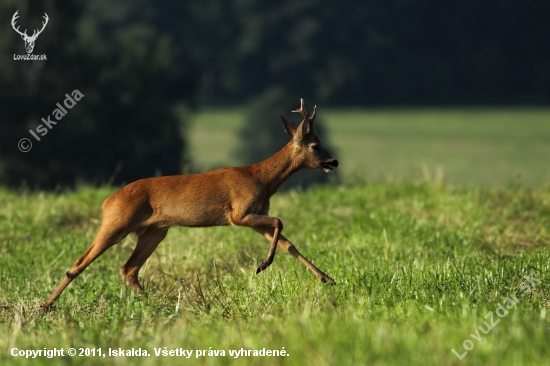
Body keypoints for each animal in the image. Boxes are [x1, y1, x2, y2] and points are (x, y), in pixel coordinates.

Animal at [41, 98, 338, 308]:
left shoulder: (255, 216)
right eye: (316, 146)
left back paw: (156, 305)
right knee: (81, 262)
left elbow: (289, 243)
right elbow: (280, 221)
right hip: (117, 223)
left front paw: (327, 278)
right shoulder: (239, 213)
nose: (333, 161)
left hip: (155, 231)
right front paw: (262, 265)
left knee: (129, 268)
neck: (262, 179)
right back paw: (45, 307)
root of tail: (107, 201)